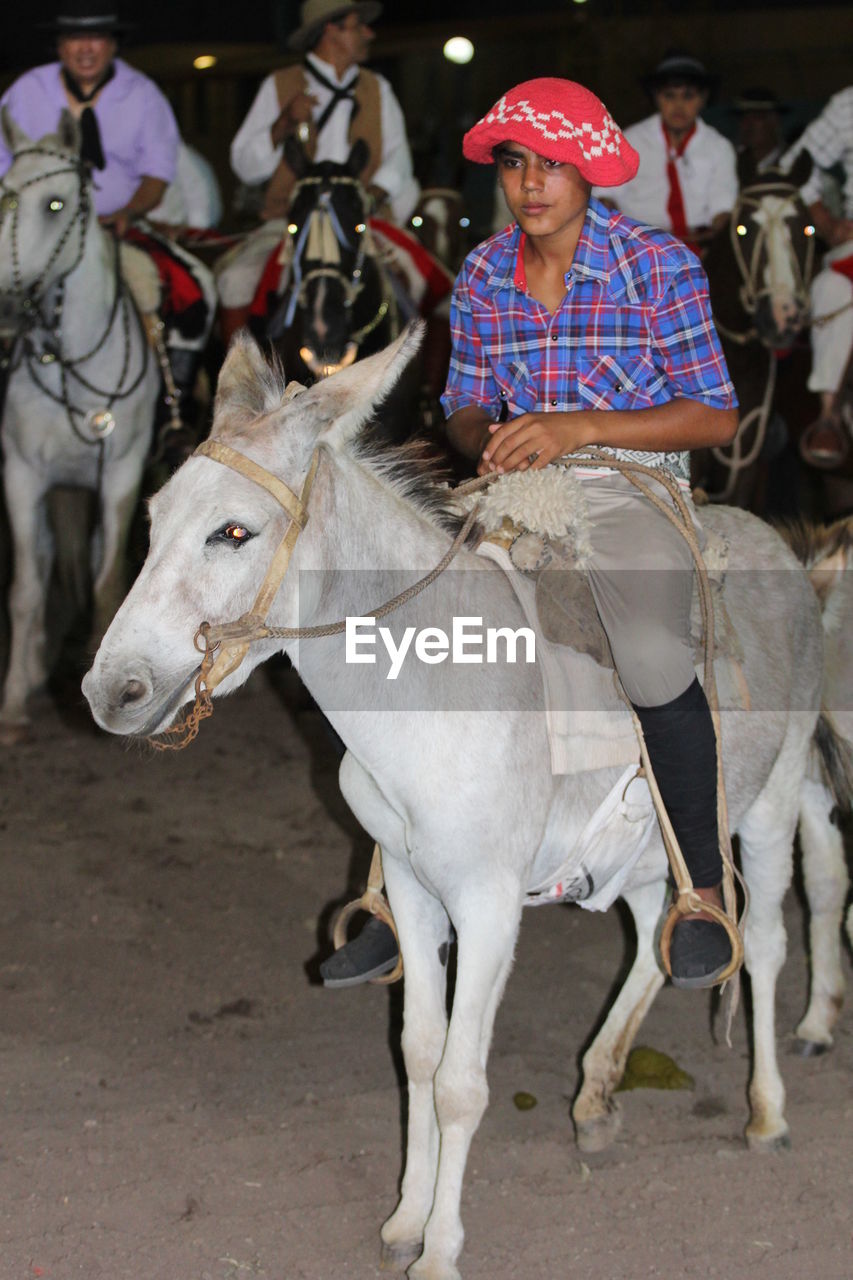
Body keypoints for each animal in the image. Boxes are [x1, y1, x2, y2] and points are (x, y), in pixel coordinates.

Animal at [0, 112, 158, 732]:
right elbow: (26, 589)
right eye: (3, 195)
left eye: (55, 204)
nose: (4, 304)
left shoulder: (121, 473)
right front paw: (13, 699)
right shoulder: (21, 475)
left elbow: (108, 581)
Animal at [83, 327, 845, 1280]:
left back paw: (767, 1111)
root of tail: (782, 553)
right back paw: (598, 1092)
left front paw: (439, 1251)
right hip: (638, 848)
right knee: (653, 936)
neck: (433, 680)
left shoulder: (486, 906)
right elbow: (415, 1054)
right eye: (151, 520)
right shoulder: (414, 891)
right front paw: (405, 1219)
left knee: (767, 940)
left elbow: (458, 1083)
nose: (110, 691)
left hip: (768, 805)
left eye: (234, 531)